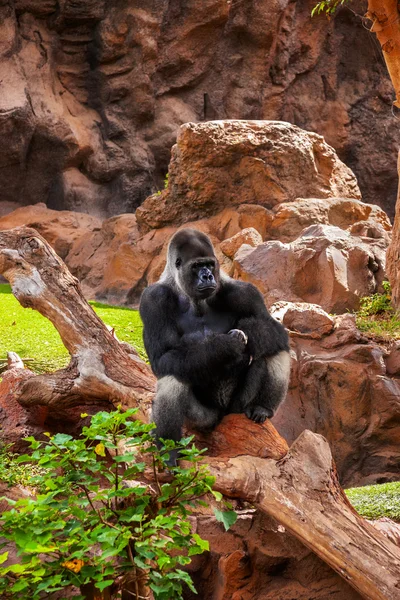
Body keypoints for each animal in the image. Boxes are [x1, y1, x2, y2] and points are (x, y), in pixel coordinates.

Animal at [139, 227, 290, 462]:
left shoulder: (245, 292)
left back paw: (263, 407)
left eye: (210, 265)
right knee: (173, 375)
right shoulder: (153, 300)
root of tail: (222, 416)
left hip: (237, 409)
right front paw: (225, 346)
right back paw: (169, 450)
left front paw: (250, 330)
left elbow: (273, 330)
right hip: (204, 421)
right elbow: (163, 358)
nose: (208, 276)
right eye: (197, 266)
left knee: (273, 346)